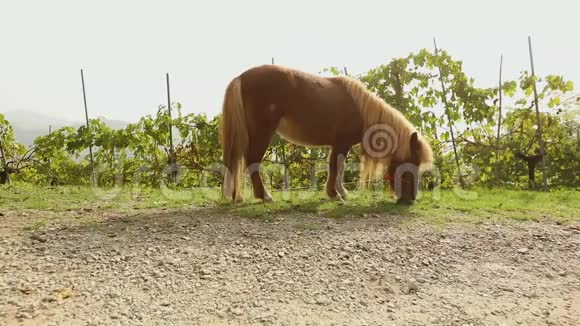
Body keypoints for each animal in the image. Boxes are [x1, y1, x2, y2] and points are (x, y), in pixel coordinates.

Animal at [220, 64, 432, 204]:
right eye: (411, 164)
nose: (410, 200)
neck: (361, 110)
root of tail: (241, 77)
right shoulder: (341, 143)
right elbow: (336, 166)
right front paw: (335, 194)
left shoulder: (341, 145)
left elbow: (340, 167)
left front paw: (341, 192)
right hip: (261, 133)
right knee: (252, 161)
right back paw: (264, 196)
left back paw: (236, 196)